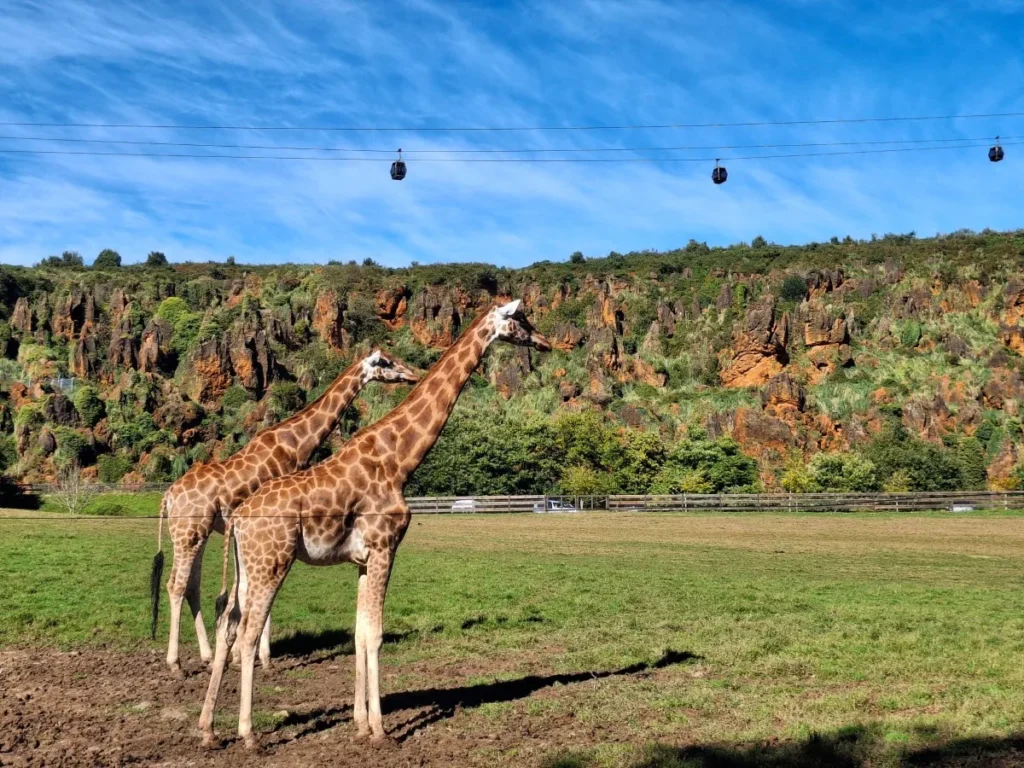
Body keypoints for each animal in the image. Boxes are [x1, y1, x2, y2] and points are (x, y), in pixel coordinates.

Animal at [149, 352, 419, 675]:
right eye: (387, 363)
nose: (414, 375)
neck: (295, 443)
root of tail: (168, 496)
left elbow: (242, 593)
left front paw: (240, 656)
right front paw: (261, 657)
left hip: (194, 533)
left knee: (191, 587)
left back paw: (206, 656)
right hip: (189, 531)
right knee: (176, 585)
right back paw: (175, 662)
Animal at [199, 301, 552, 753]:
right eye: (520, 320)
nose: (545, 342)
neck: (399, 459)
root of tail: (240, 517)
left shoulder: (364, 559)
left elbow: (360, 633)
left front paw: (360, 724)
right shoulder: (386, 547)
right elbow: (377, 634)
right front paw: (382, 730)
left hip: (248, 566)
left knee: (228, 623)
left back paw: (208, 730)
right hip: (272, 563)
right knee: (246, 634)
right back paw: (248, 735)